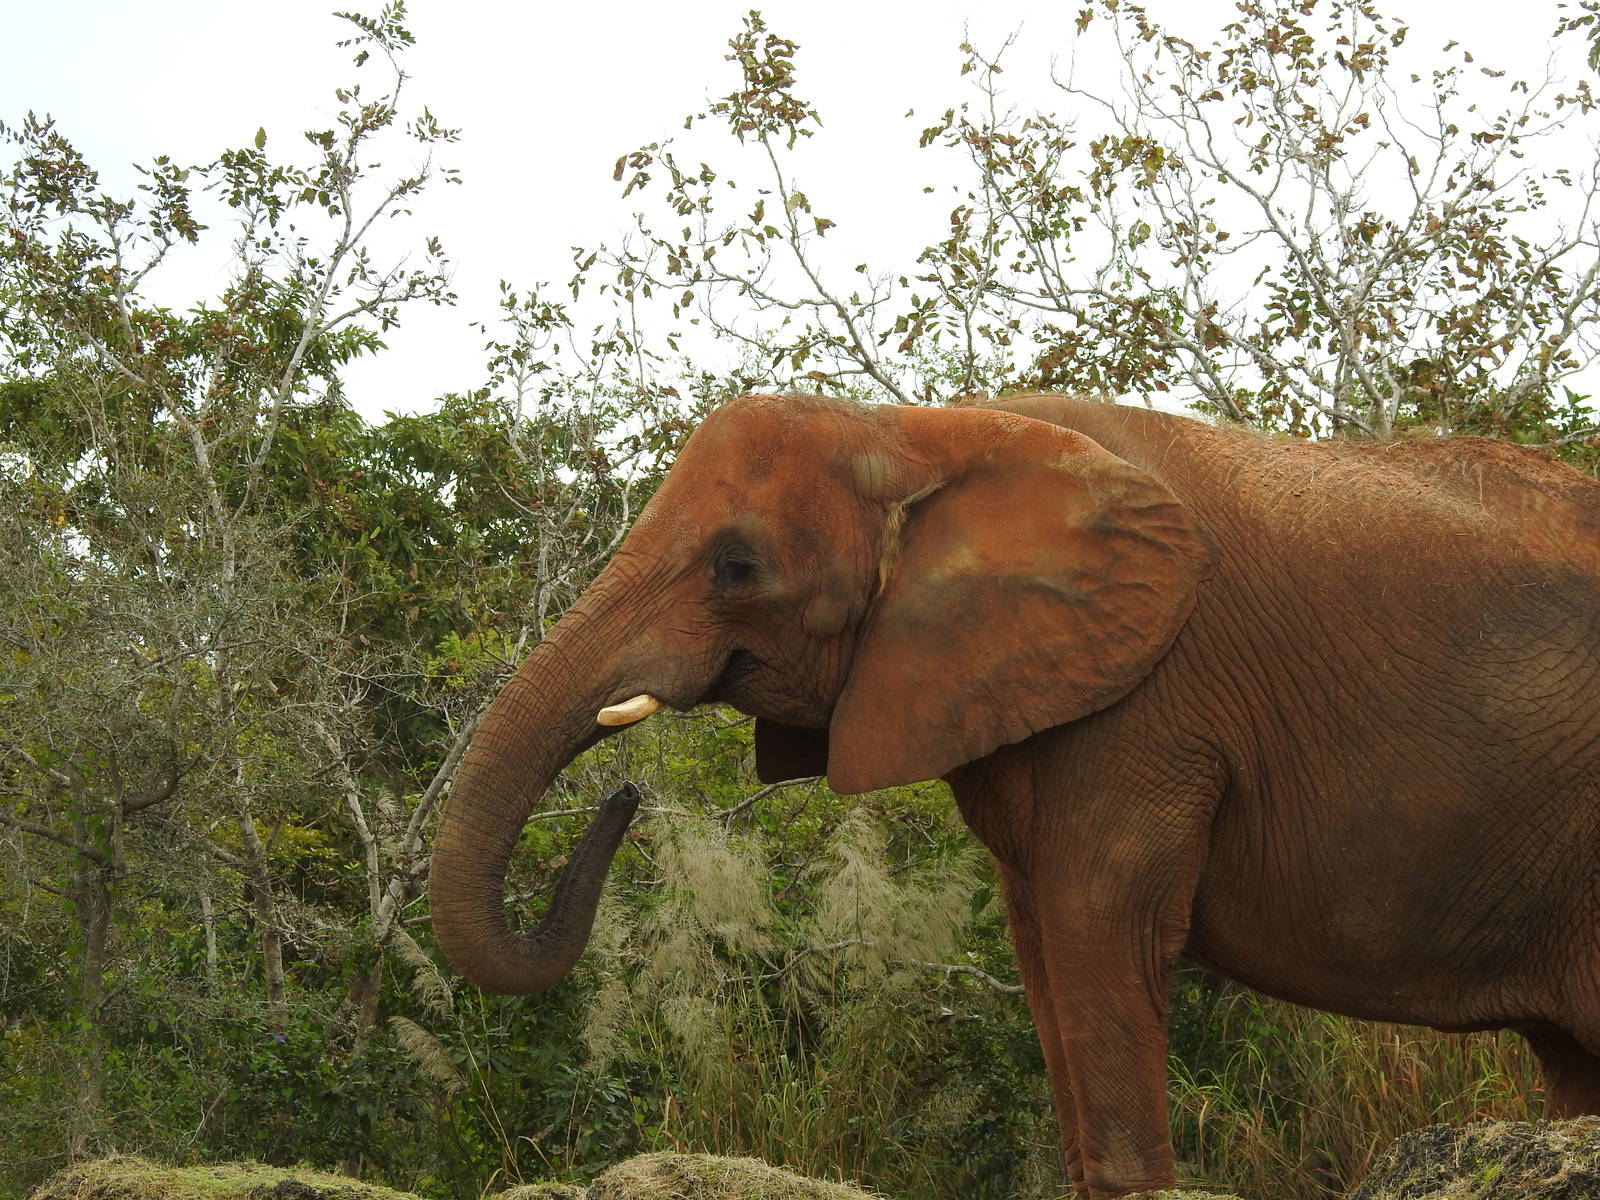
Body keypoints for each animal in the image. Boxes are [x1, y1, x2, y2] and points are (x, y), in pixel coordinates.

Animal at [429, 392, 1600, 1199]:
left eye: (736, 567)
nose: (624, 792)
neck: (920, 431)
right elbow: (1042, 940)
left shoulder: (1146, 702)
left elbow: (1099, 923)